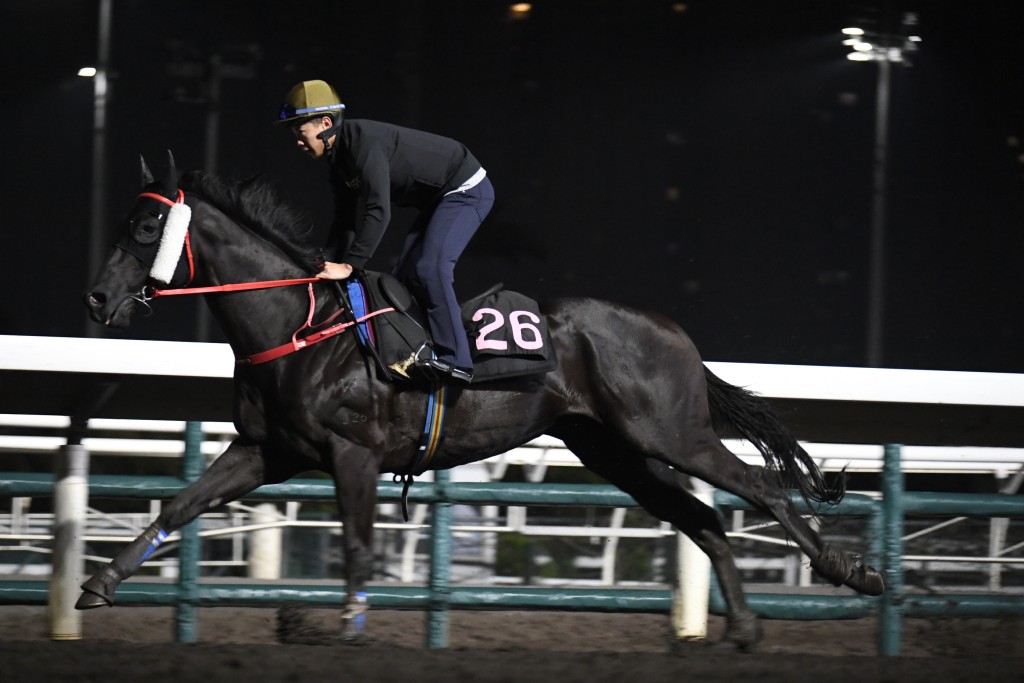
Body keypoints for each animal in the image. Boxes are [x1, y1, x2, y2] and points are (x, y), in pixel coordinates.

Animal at [77, 153, 880, 651]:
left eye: (144, 227)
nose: (96, 299)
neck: (297, 328)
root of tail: (675, 332)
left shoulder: (352, 453)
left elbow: (359, 544)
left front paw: (344, 629)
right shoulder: (265, 449)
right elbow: (180, 503)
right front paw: (97, 583)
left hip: (670, 433)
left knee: (759, 486)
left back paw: (852, 572)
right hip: (616, 450)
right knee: (706, 519)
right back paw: (743, 629)